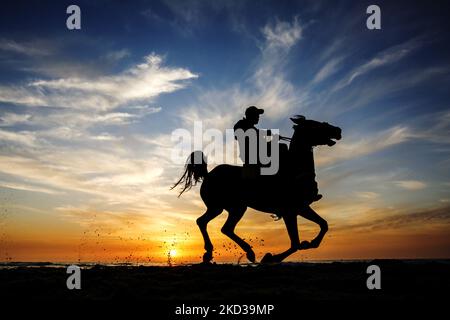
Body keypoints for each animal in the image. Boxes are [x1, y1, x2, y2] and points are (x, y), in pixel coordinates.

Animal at [172, 115, 342, 262]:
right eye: (315, 124)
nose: (338, 130)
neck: (294, 169)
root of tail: (208, 175)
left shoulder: (302, 207)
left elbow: (323, 225)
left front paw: (311, 243)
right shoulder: (290, 211)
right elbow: (295, 243)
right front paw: (271, 258)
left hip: (221, 208)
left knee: (206, 223)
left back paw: (211, 252)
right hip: (234, 207)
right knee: (222, 228)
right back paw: (247, 252)